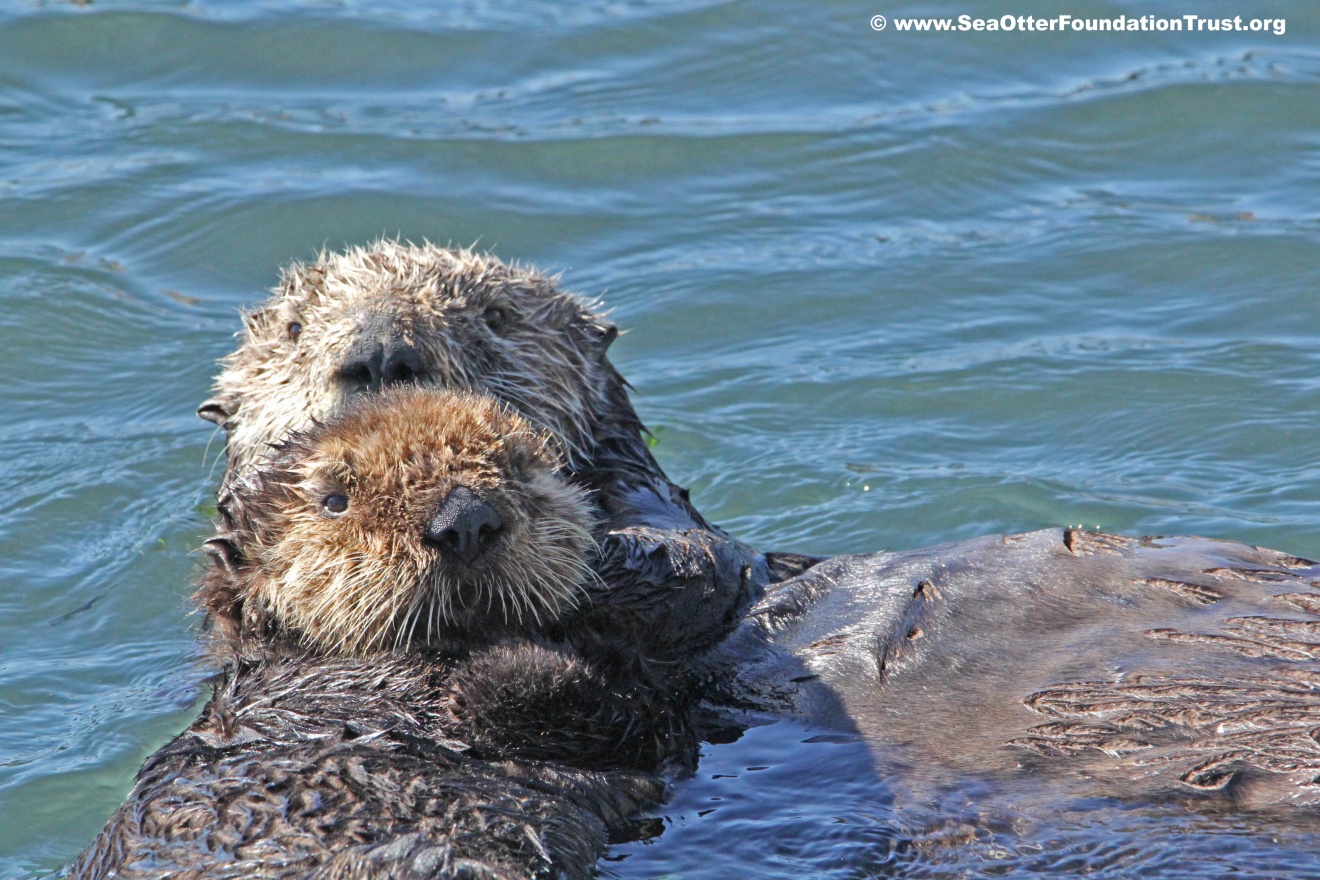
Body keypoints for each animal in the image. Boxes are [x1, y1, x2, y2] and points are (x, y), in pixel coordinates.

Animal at [73, 388, 703, 880]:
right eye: (334, 500)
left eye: (521, 467)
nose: (465, 520)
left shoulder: (646, 739)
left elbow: (633, 721)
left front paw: (508, 661)